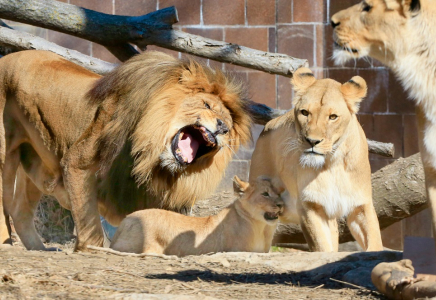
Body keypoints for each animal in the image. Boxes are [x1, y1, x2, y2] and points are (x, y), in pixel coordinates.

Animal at [0, 49, 252, 251]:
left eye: (229, 127)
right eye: (207, 105)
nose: (222, 127)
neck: (150, 160)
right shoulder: (77, 163)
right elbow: (89, 223)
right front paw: (92, 250)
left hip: (34, 164)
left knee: (20, 210)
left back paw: (39, 248)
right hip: (5, 155)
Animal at [247, 67, 384, 251]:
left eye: (333, 117)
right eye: (305, 113)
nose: (312, 141)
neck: (333, 163)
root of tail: (268, 126)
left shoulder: (361, 204)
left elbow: (374, 242)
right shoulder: (310, 206)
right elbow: (323, 247)